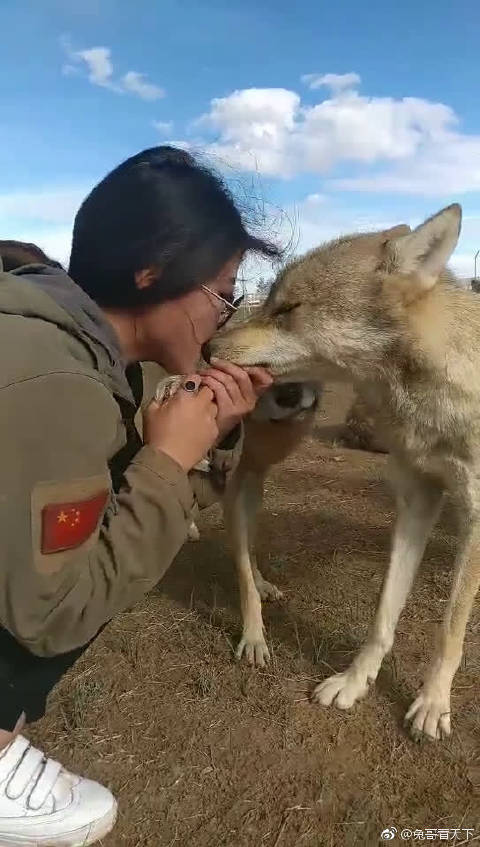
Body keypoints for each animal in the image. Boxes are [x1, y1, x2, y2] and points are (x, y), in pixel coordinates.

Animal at [205, 205, 480, 744]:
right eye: (270, 303)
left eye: (288, 309)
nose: (206, 346)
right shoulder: (417, 502)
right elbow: (383, 617)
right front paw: (354, 684)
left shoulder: (475, 518)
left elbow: (449, 630)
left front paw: (433, 704)